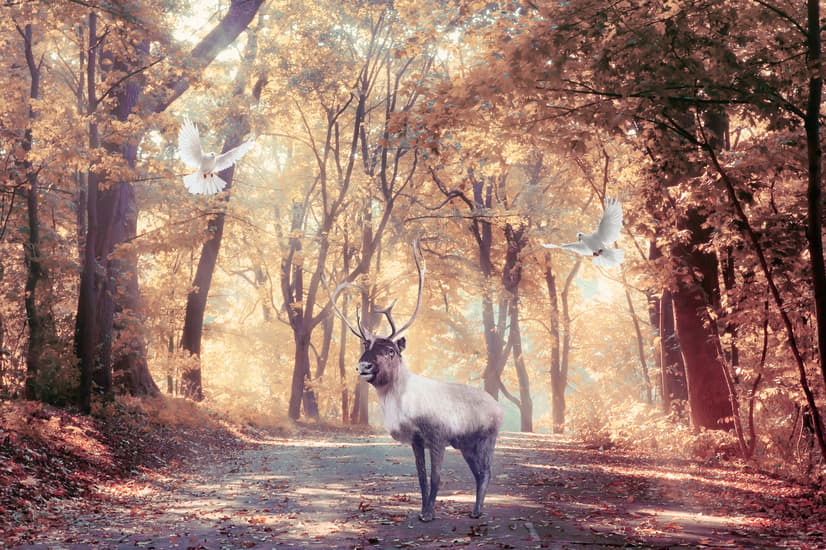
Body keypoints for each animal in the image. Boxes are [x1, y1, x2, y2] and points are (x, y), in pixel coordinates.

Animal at [331, 243, 504, 522]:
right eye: (366, 347)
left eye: (390, 350)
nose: (364, 366)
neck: (405, 407)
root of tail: (499, 408)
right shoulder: (417, 439)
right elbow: (421, 478)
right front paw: (422, 511)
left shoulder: (437, 436)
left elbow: (436, 478)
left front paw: (429, 514)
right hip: (466, 443)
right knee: (478, 472)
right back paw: (475, 509)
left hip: (486, 438)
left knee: (486, 471)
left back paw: (477, 512)